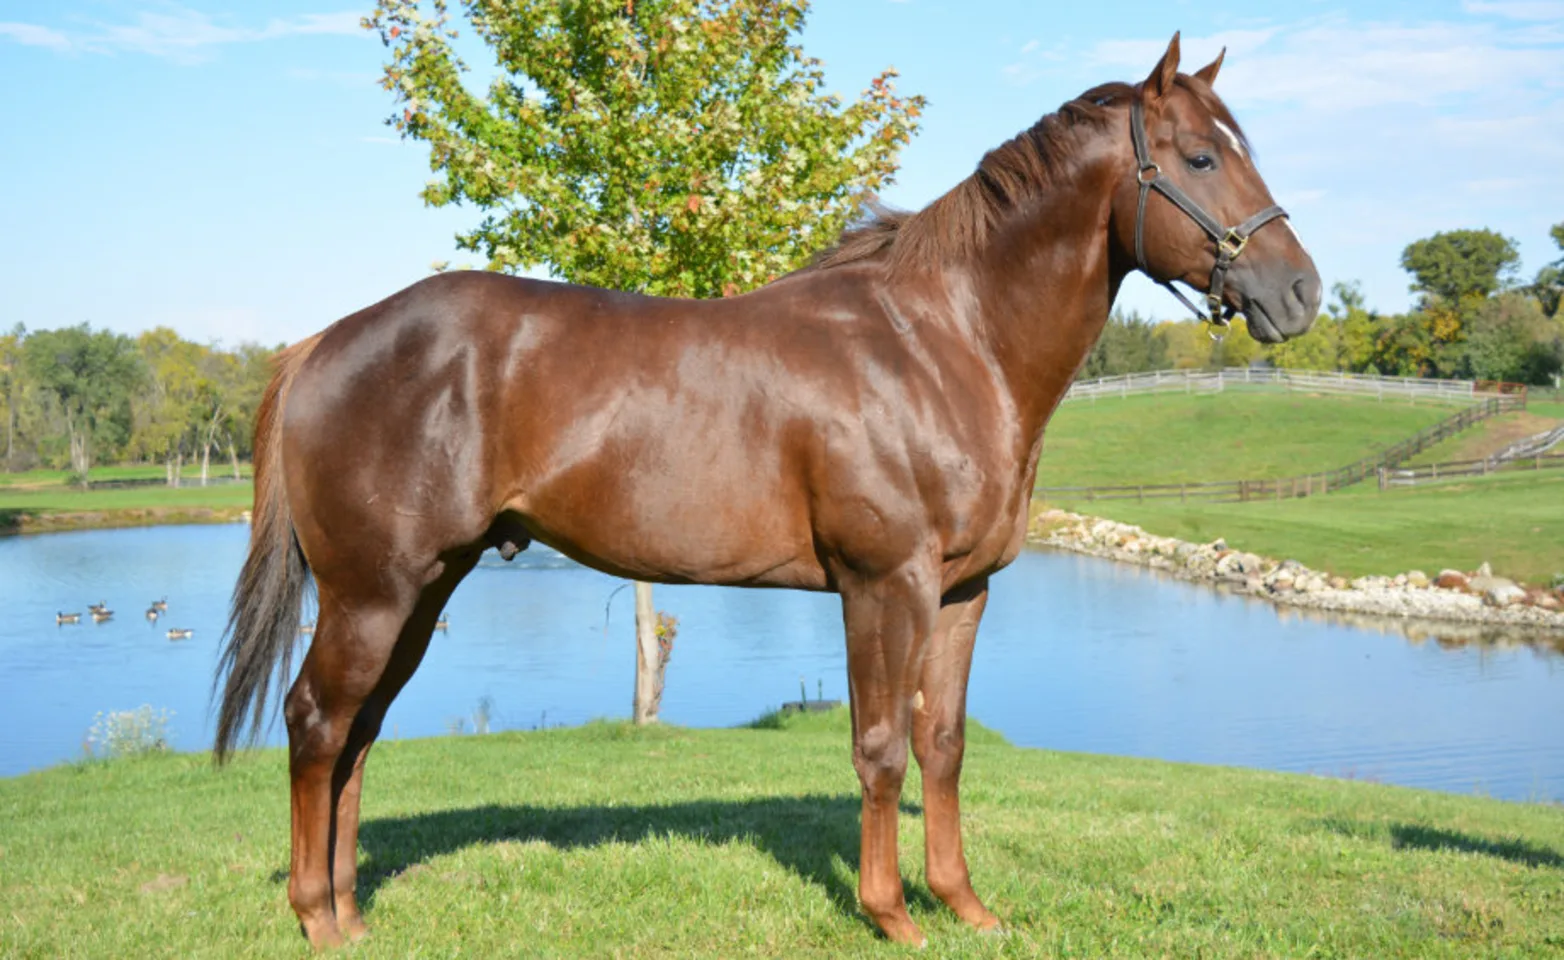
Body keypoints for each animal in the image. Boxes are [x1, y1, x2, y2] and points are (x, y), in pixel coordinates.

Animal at [214, 34, 1319, 949]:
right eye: (1200, 159)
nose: (1300, 292)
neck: (943, 343)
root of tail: (322, 344)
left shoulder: (963, 593)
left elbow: (944, 745)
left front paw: (965, 906)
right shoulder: (883, 585)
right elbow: (879, 746)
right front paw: (891, 915)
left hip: (423, 586)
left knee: (359, 733)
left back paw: (353, 913)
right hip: (372, 592)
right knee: (317, 722)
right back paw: (315, 918)